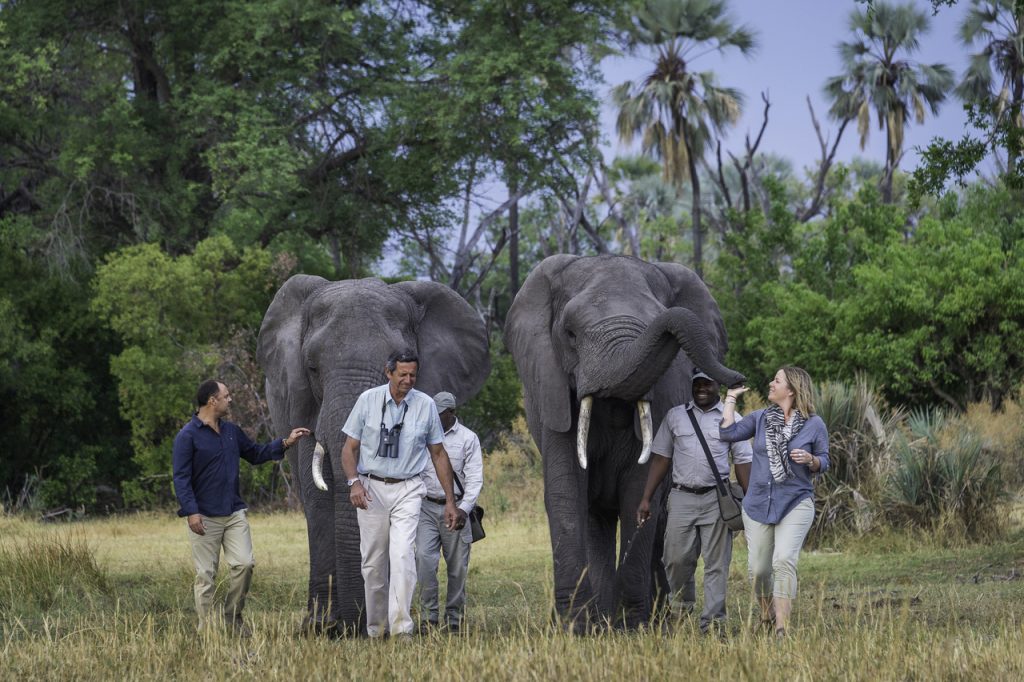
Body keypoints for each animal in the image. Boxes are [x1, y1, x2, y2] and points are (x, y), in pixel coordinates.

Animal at [256, 275, 490, 635]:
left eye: (400, 365)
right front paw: (321, 628)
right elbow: (316, 492)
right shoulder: (302, 400)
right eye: (312, 367)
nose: (354, 628)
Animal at [504, 254, 745, 629]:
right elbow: (566, 489)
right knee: (595, 521)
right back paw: (603, 619)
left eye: (656, 323)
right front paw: (576, 627)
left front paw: (633, 625)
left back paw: (653, 617)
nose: (738, 380)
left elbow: (640, 487)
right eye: (570, 334)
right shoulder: (551, 386)